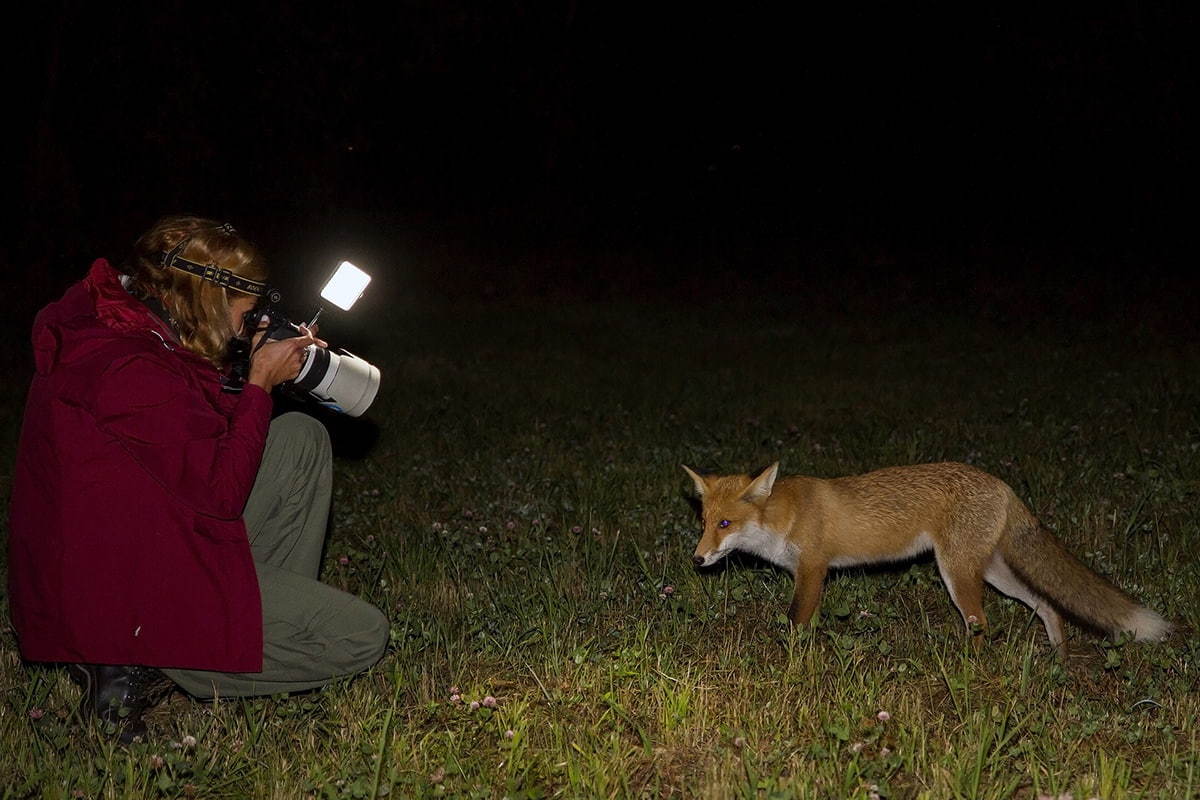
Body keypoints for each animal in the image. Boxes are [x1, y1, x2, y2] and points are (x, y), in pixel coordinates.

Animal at [686, 460, 1171, 647]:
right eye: (705, 521)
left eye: (725, 524)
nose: (697, 560)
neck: (784, 518)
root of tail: (1000, 483)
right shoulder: (804, 573)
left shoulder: (813, 570)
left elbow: (795, 623)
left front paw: (791, 663)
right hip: (992, 572)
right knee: (1046, 604)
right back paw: (1059, 655)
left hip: (957, 572)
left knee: (981, 623)